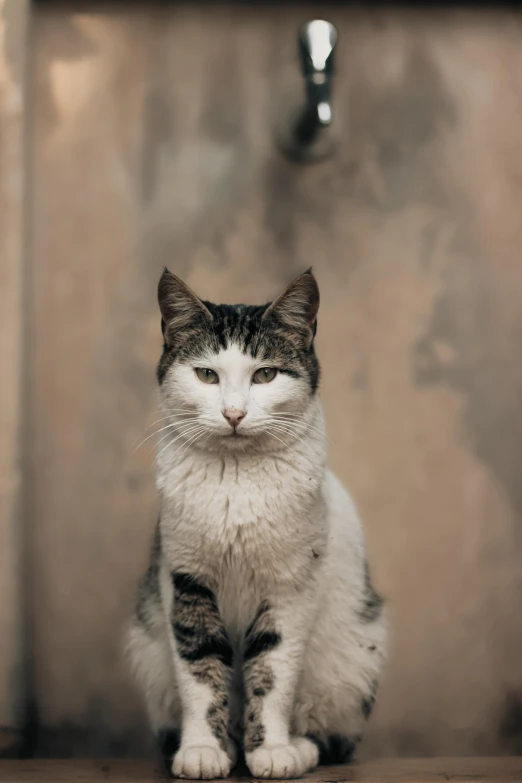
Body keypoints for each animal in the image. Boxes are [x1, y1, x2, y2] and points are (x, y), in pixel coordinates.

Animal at [126, 268, 386, 776]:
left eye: (265, 374)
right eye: (206, 374)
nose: (233, 413)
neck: (237, 477)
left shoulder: (291, 586)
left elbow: (273, 670)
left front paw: (272, 751)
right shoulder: (184, 578)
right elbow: (200, 668)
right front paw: (203, 750)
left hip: (354, 658)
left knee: (333, 739)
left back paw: (299, 748)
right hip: (148, 649)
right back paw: (228, 745)